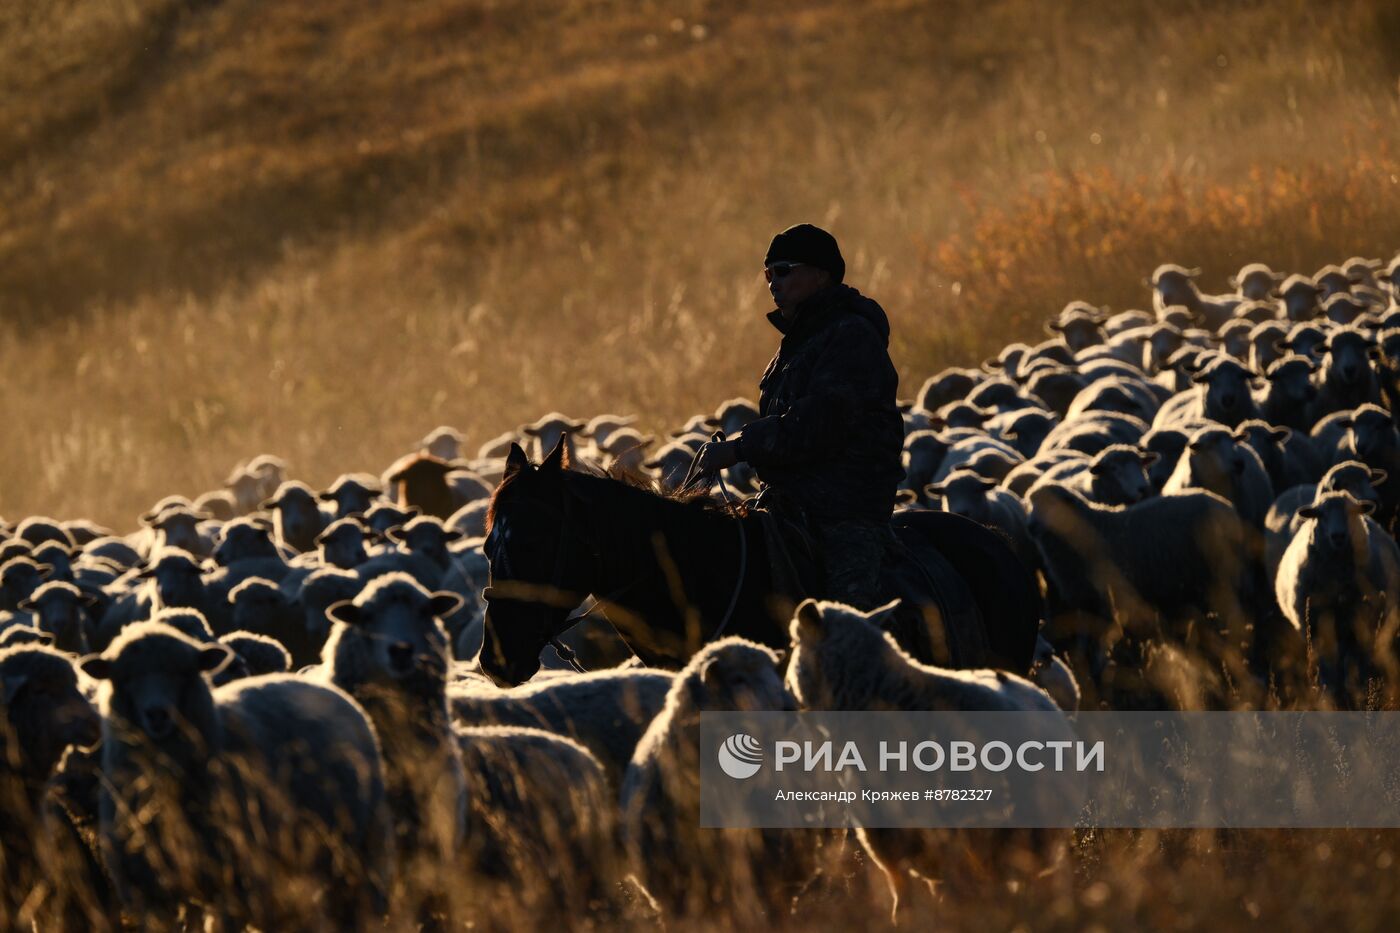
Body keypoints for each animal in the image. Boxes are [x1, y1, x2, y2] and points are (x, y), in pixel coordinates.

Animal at [81, 616, 392, 924]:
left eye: (184, 673)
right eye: (124, 678)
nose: (157, 714)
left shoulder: (234, 887)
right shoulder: (146, 895)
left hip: (365, 843)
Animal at [1276, 487, 1400, 697]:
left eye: (1352, 512)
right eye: (1320, 515)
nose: (1338, 536)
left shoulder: (1362, 623)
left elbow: (1358, 662)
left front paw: (1359, 688)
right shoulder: (1314, 627)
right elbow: (1326, 666)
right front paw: (1328, 692)